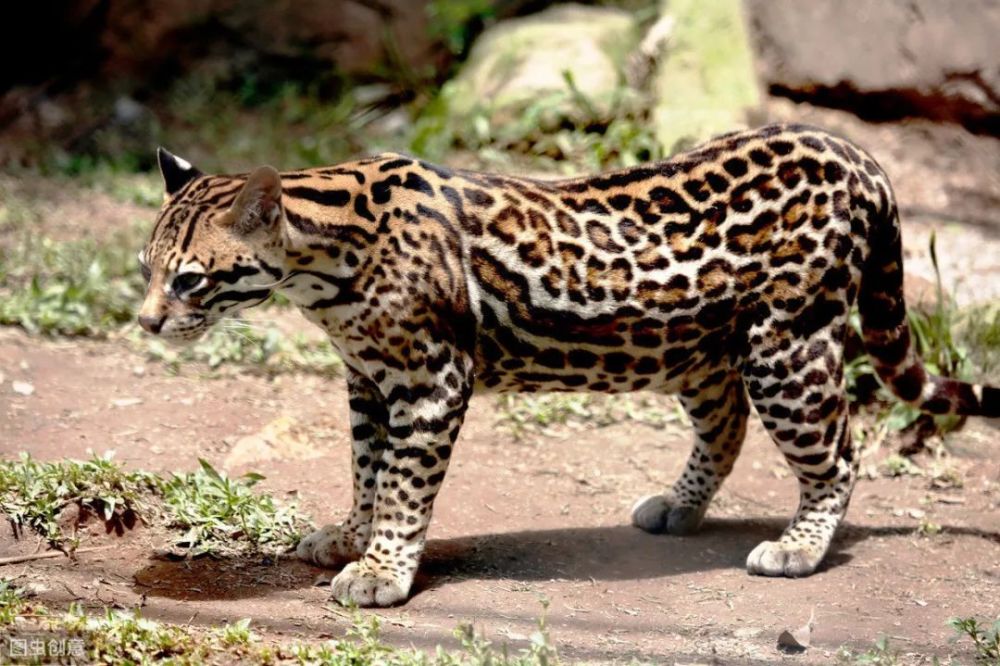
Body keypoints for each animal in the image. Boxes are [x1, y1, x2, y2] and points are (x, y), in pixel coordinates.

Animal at [137, 124, 996, 608]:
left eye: (190, 280)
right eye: (146, 268)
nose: (146, 322)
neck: (322, 265)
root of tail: (856, 154)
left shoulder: (430, 380)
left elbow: (404, 485)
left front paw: (383, 568)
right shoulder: (368, 381)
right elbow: (366, 469)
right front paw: (353, 535)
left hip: (789, 345)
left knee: (840, 455)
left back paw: (801, 546)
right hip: (697, 346)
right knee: (726, 423)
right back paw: (680, 505)